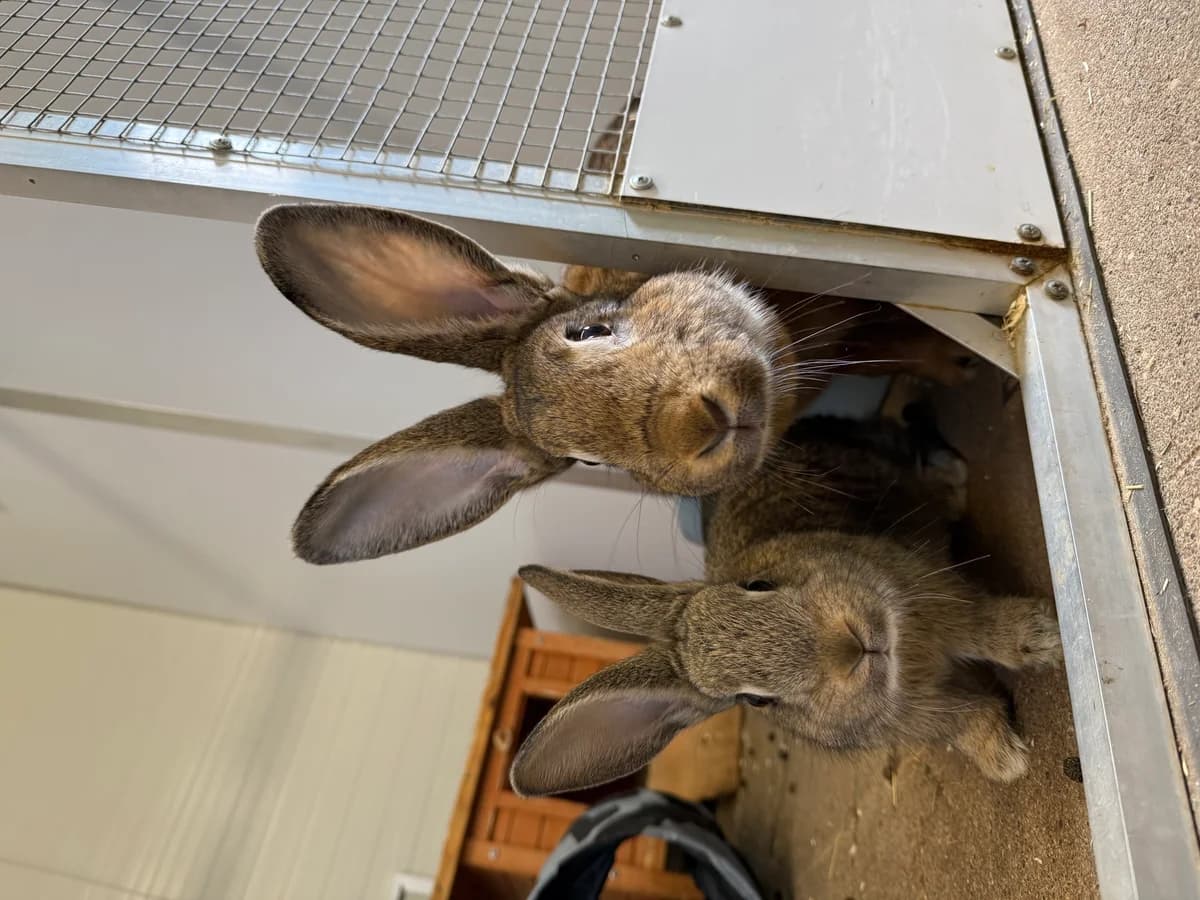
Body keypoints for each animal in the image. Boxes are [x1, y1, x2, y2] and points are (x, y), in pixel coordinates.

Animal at [509, 415, 1062, 796]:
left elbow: (986, 626)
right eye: (755, 700)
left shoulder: (929, 590)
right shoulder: (916, 716)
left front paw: (1047, 636)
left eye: (758, 584)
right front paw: (1004, 758)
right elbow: (964, 719)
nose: (851, 649)